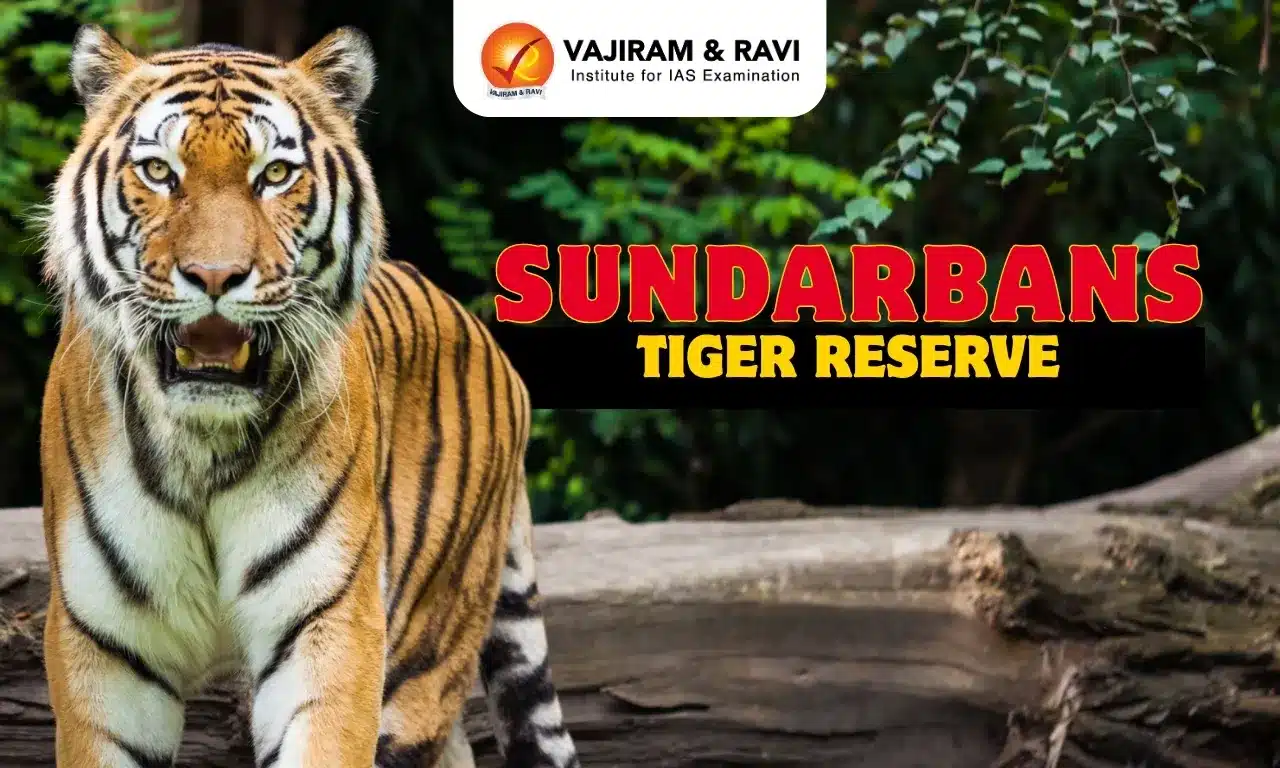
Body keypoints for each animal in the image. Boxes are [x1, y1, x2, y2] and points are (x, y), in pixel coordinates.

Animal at [37, 23, 580, 768]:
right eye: (158, 172)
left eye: (274, 175)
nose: (215, 275)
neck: (202, 448)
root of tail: (482, 331)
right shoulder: (105, 644)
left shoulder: (329, 622)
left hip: (422, 652)